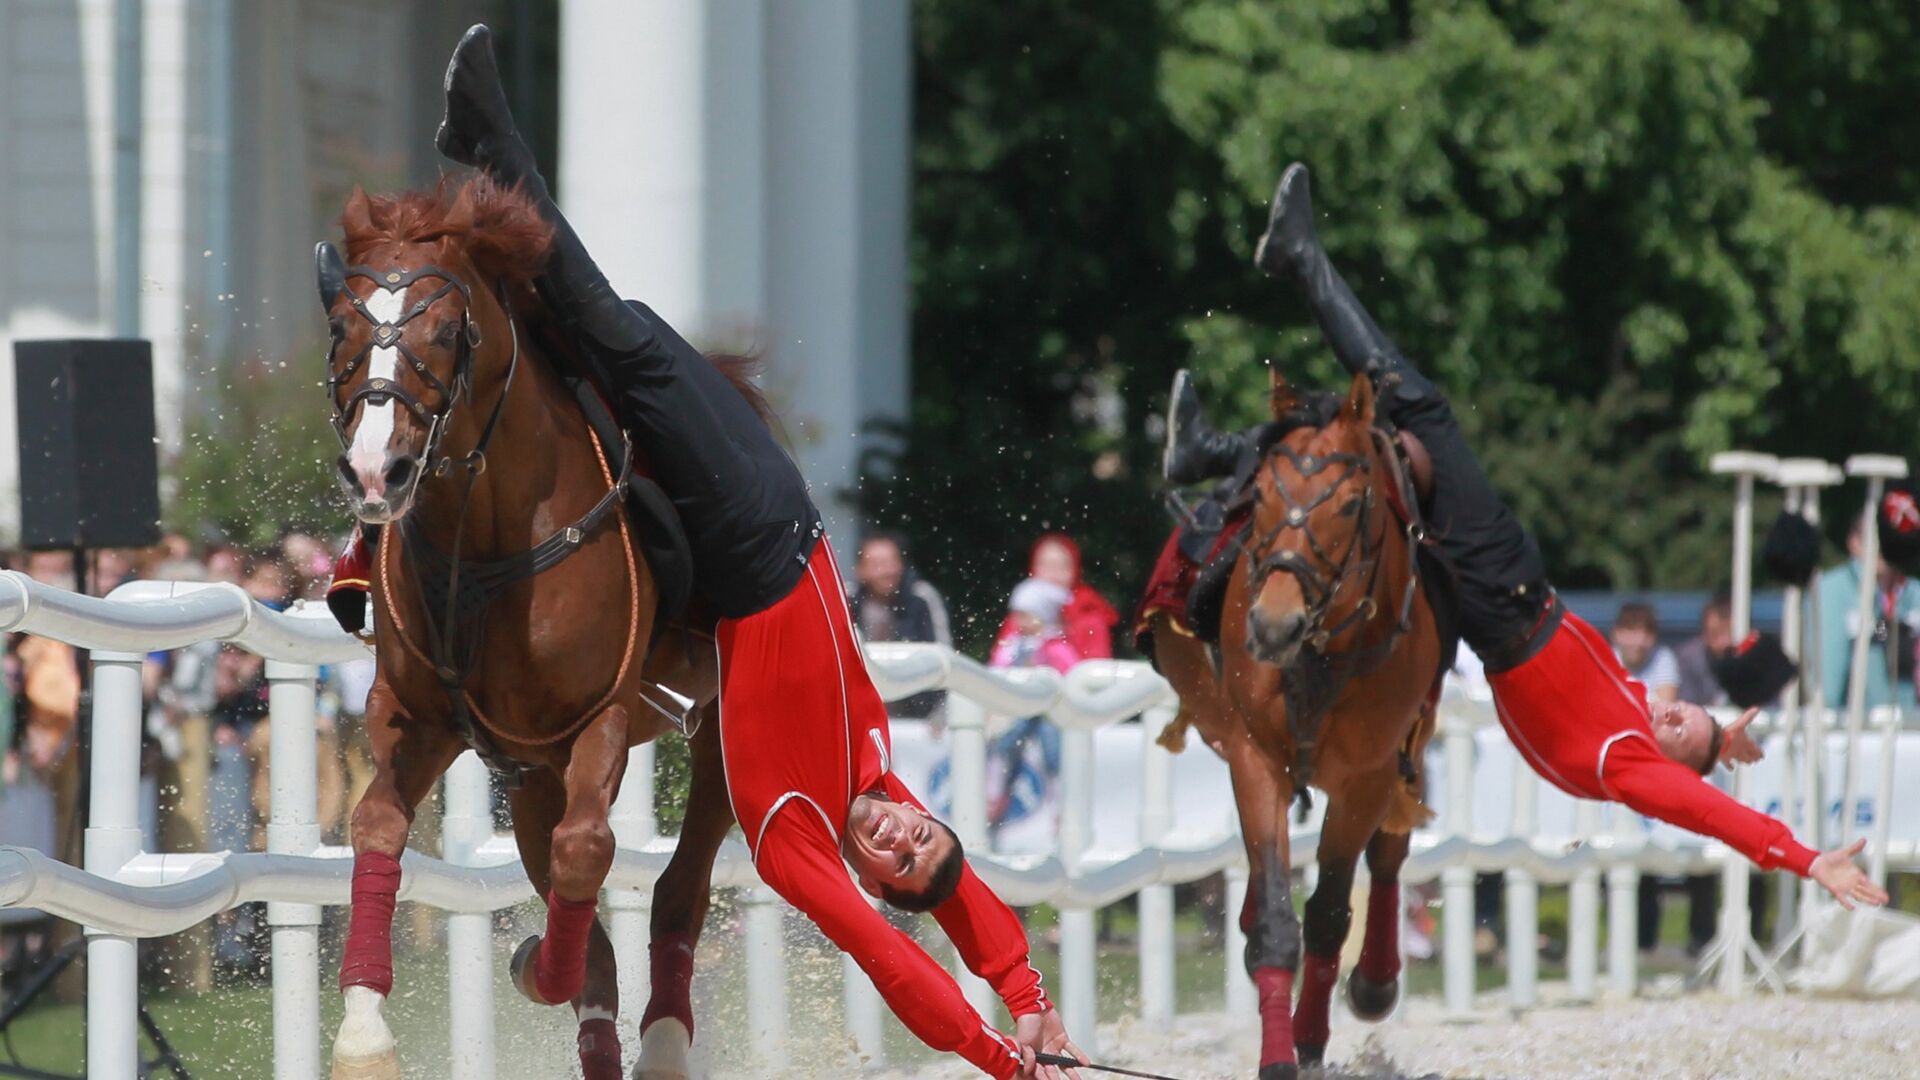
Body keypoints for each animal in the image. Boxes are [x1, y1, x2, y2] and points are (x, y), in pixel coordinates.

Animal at [314, 178, 733, 1076]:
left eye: (448, 330)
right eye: (340, 329)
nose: (375, 471)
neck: (488, 539)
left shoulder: (599, 719)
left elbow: (588, 853)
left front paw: (537, 963)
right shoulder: (418, 716)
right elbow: (377, 823)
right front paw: (364, 1036)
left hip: (714, 733)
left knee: (678, 886)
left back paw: (663, 1039)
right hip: (533, 774)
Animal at [1136, 368, 1443, 1076]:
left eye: (1352, 504)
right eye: (1263, 498)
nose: (1273, 624)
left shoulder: (1367, 778)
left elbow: (1329, 911)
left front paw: (1309, 1038)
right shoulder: (1256, 759)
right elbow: (1280, 923)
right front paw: (1278, 1052)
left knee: (1388, 854)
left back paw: (1375, 981)